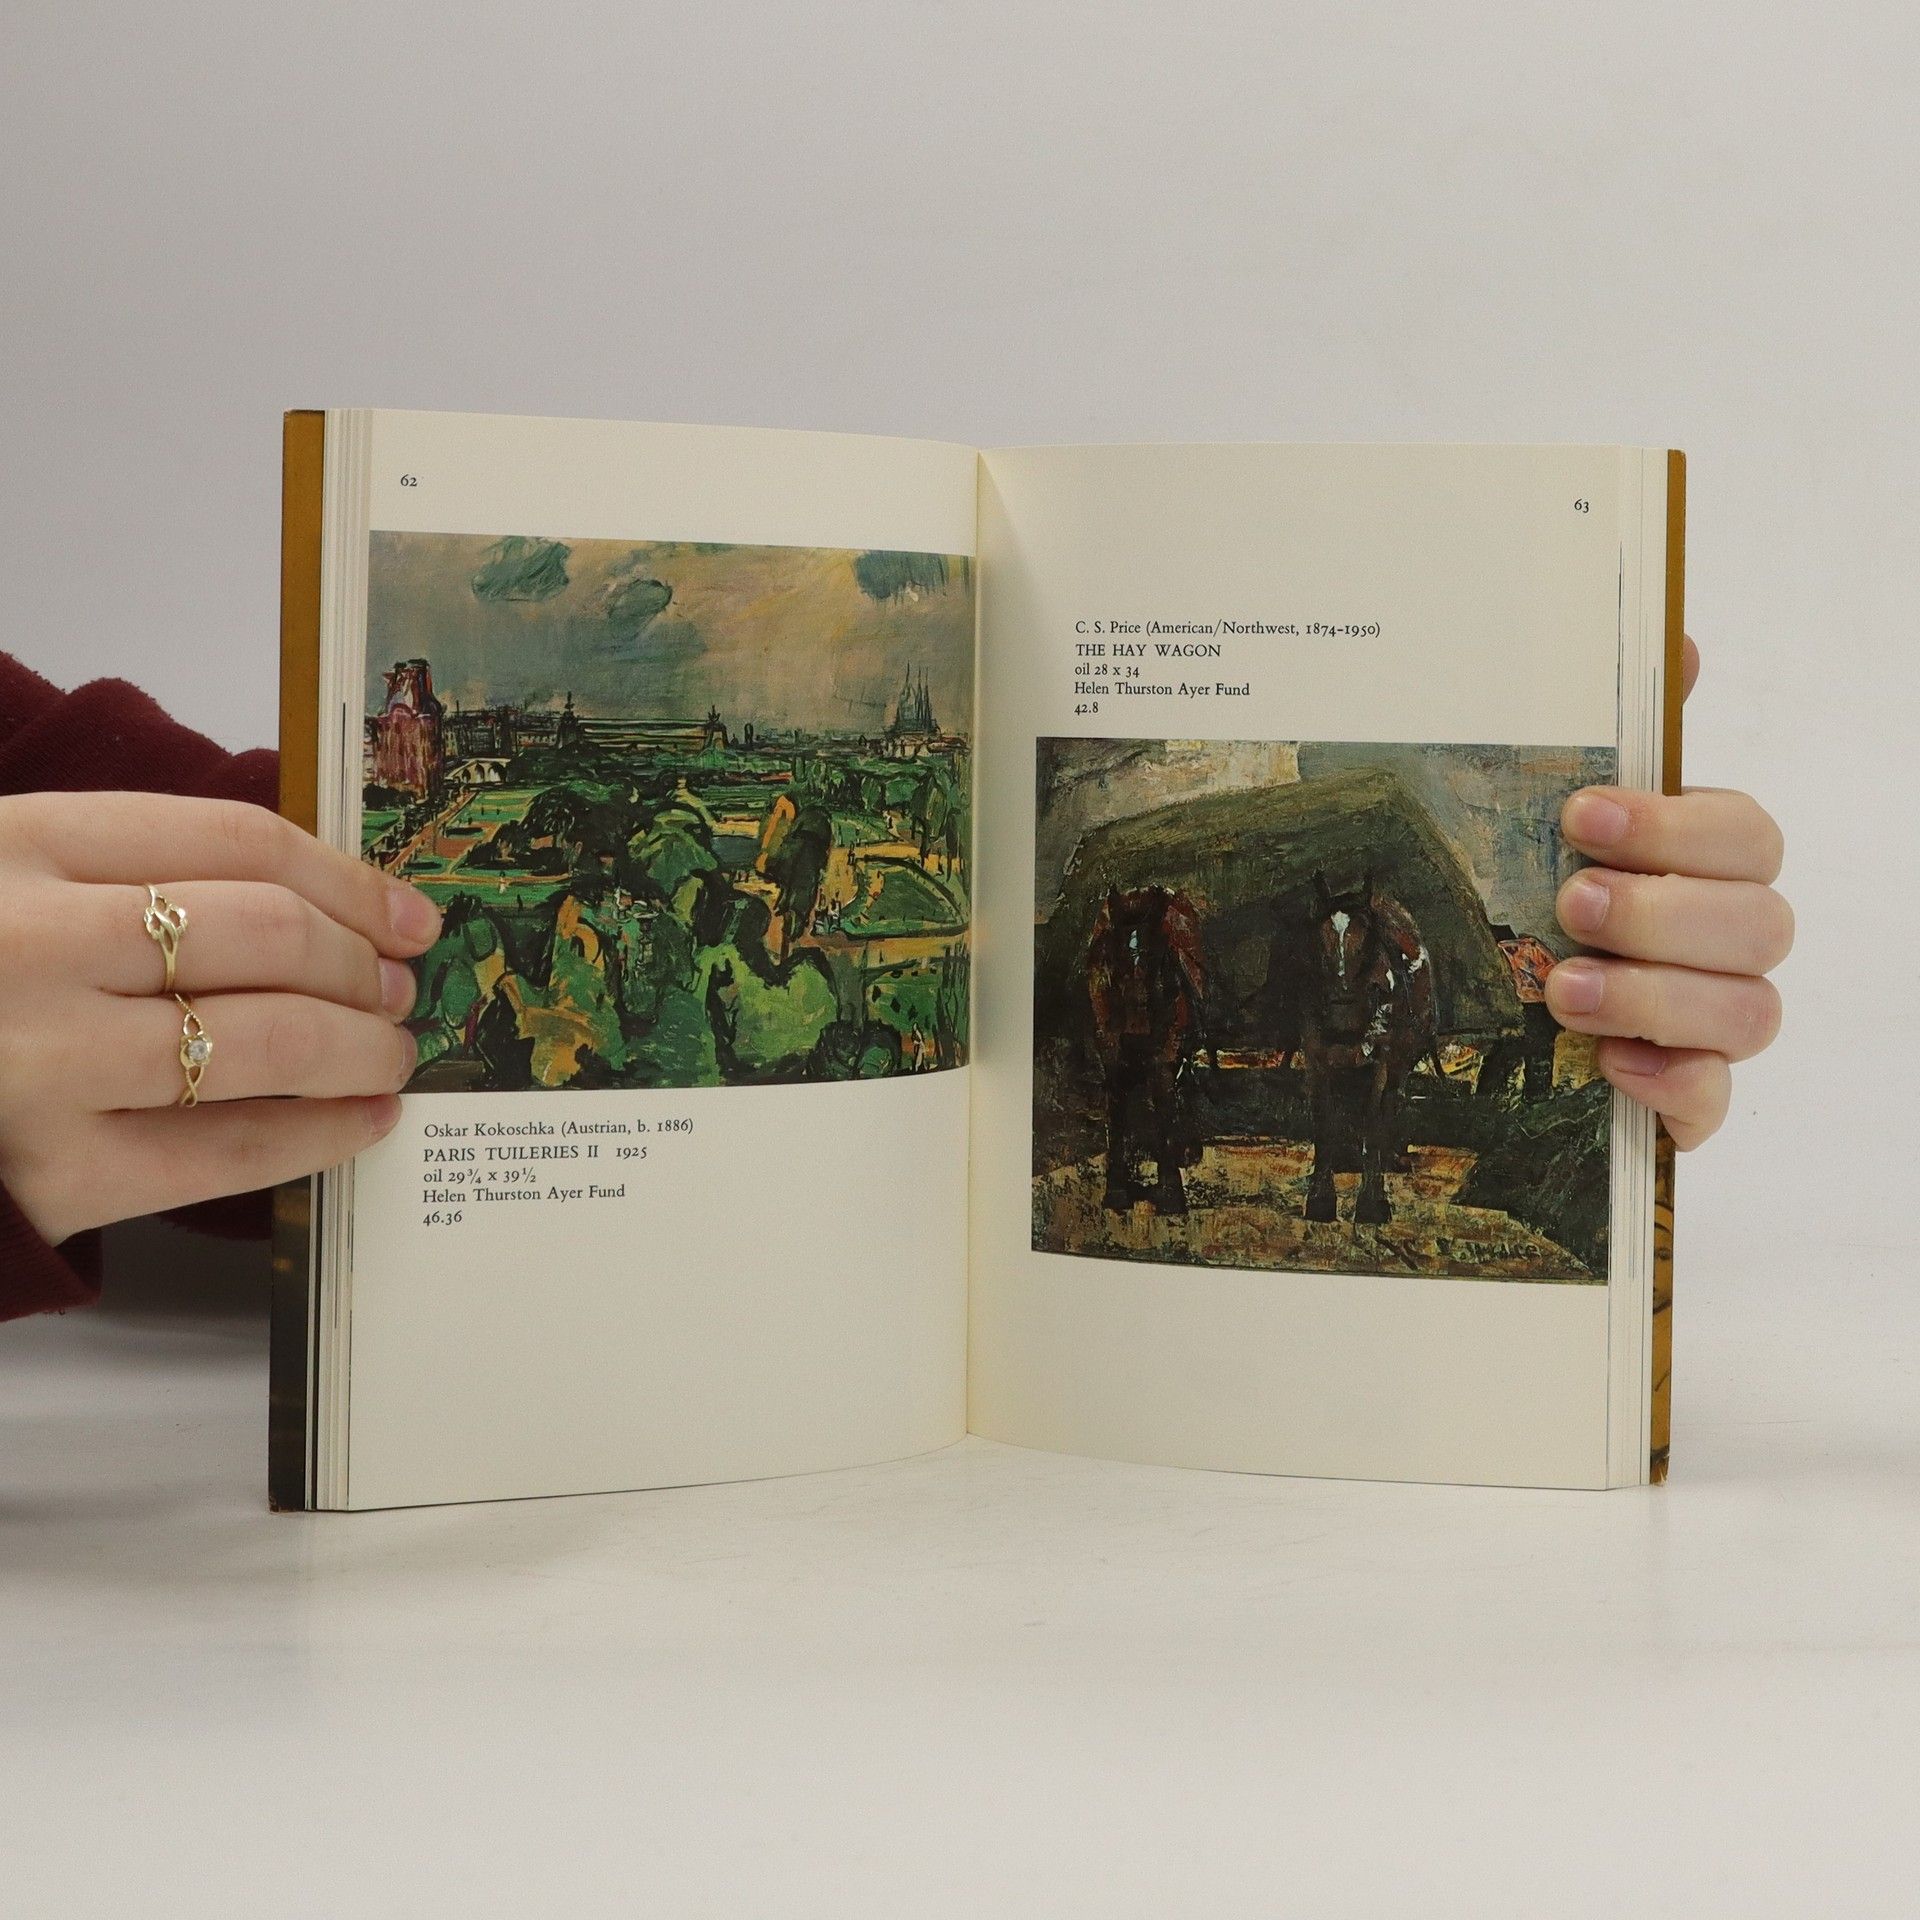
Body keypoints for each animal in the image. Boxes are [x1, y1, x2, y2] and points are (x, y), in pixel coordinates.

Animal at [1086, 886, 1207, 1215]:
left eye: (1156, 957)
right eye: (1112, 957)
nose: (1136, 1033)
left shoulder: (1163, 1056)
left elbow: (1164, 1109)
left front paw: (1172, 1192)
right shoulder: (1111, 1055)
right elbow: (1117, 1115)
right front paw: (1116, 1190)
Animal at [1296, 873, 1436, 1226]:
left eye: (1369, 941)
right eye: (1318, 942)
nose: (1341, 1012)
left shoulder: (1381, 1061)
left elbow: (1373, 1123)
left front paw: (1372, 1202)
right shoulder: (1317, 1060)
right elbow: (1325, 1122)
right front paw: (1321, 1198)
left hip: (1400, 1059)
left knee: (1392, 1103)